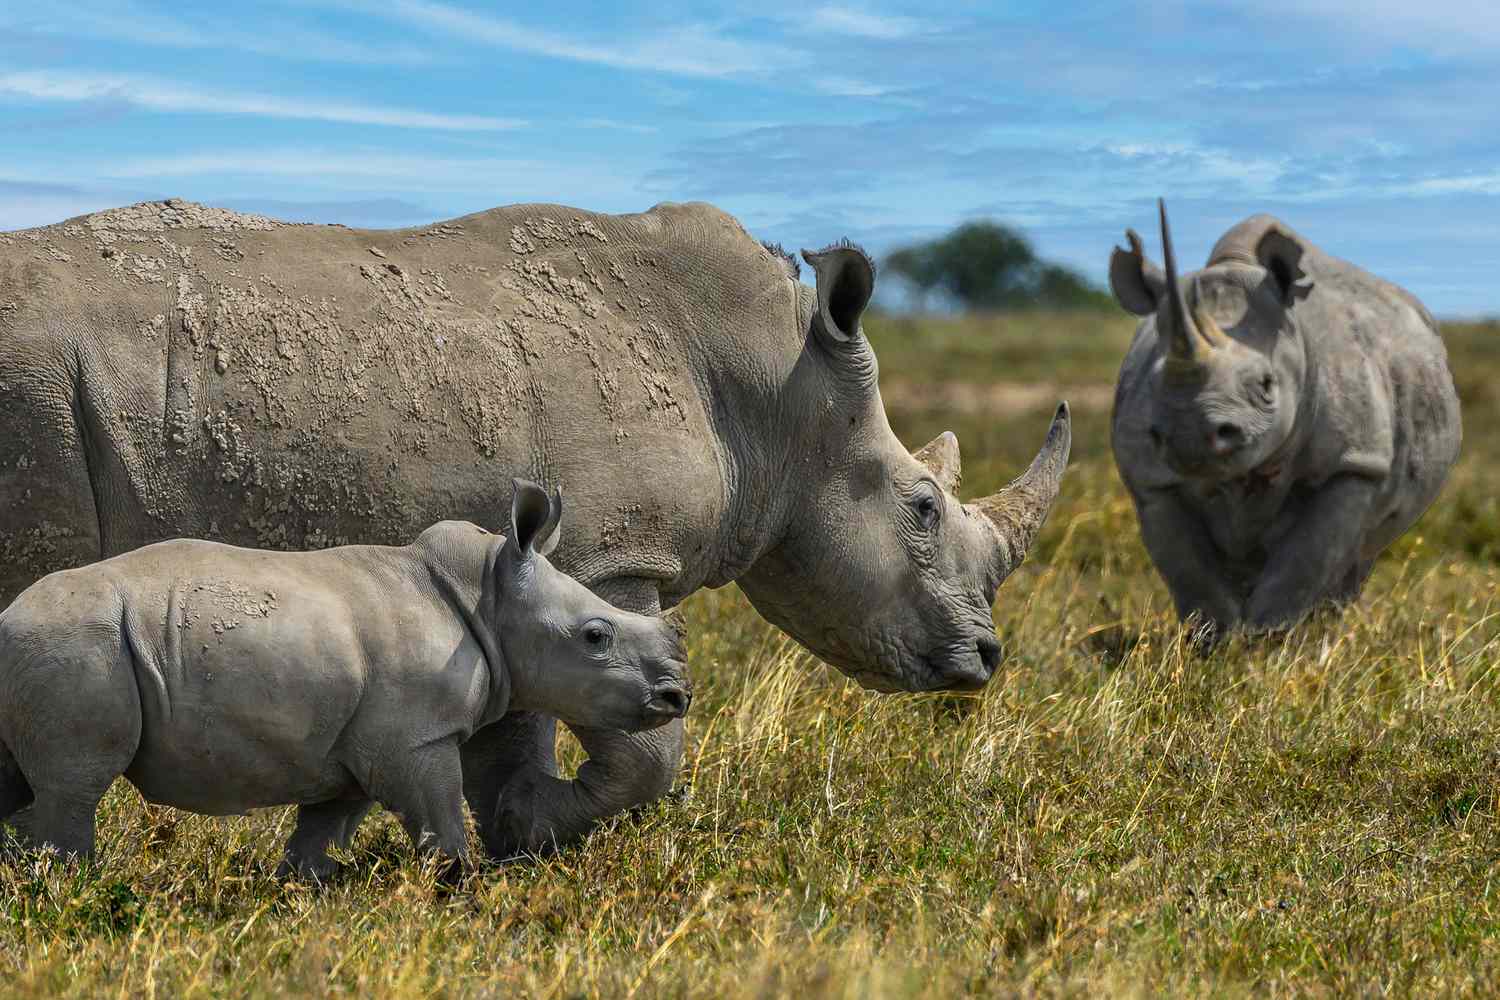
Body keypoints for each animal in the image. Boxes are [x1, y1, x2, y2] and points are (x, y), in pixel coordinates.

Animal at [0, 479, 691, 875]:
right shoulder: (415, 737)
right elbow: (440, 817)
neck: (490, 596)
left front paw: (301, 893)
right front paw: (458, 888)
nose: (676, 696)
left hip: (53, 647)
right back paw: (76, 887)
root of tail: (8, 616)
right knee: (72, 784)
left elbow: (324, 828)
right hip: (75, 645)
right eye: (596, 636)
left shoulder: (358, 743)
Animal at [1109, 201, 1461, 634]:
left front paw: (1268, 640)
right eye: (1156, 382)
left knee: (1357, 557)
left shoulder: (1354, 463)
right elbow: (1189, 570)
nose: (1190, 439)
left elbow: (1306, 560)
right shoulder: (1151, 478)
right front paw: (1216, 642)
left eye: (1266, 384)